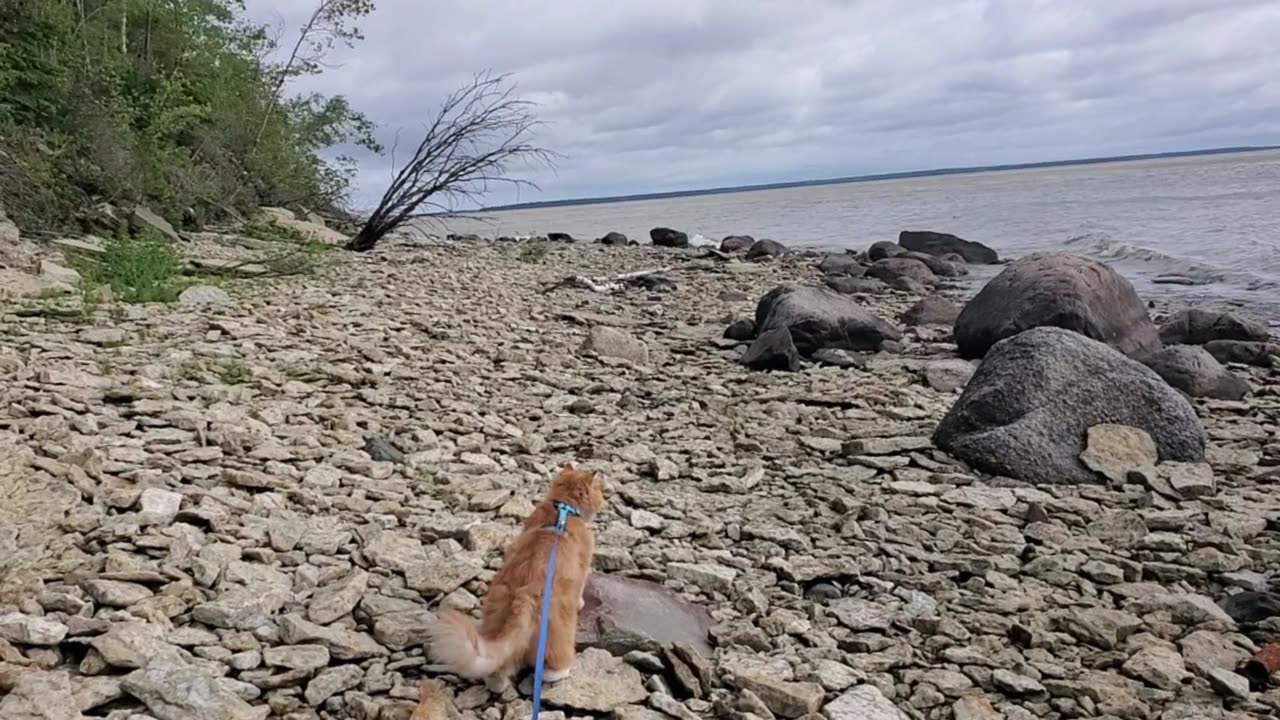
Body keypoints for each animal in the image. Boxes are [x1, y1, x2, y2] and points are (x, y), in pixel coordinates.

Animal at [424, 461, 604, 691]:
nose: (604, 500)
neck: (563, 510)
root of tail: (524, 596)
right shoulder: (585, 561)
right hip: (559, 632)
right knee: (553, 664)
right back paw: (562, 672)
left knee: (498, 671)